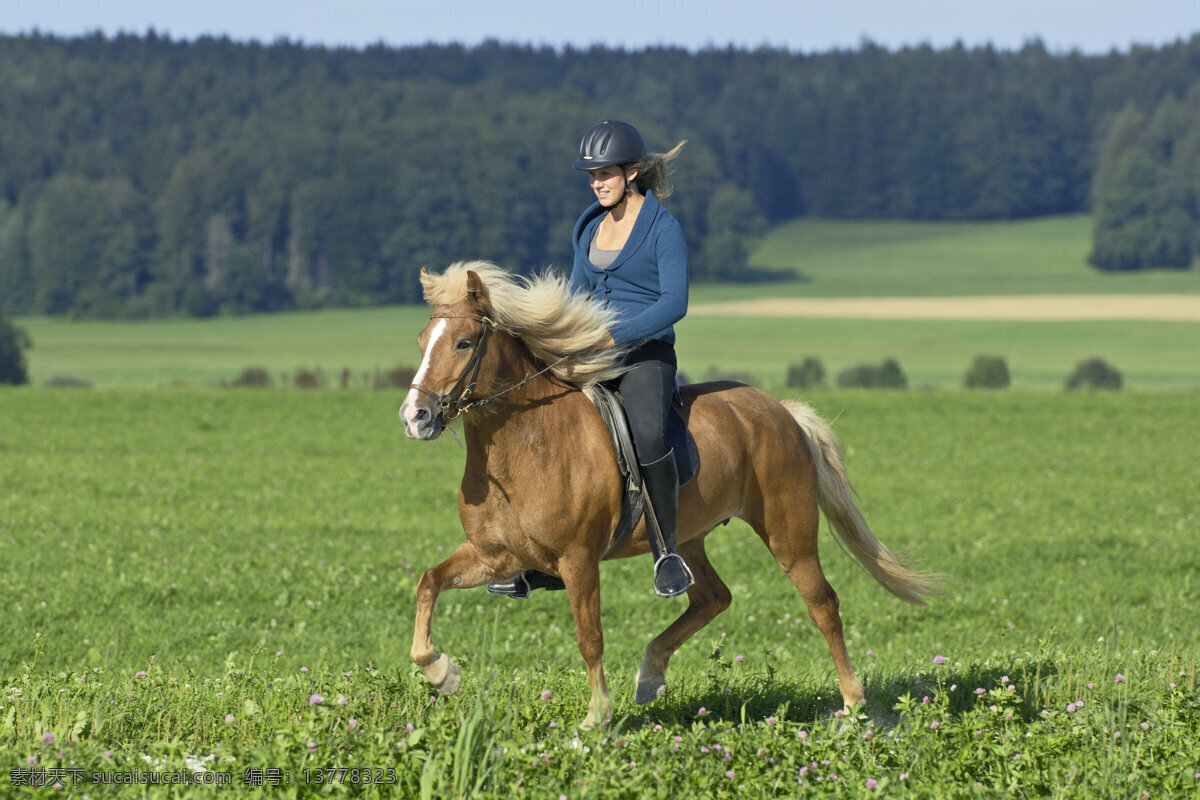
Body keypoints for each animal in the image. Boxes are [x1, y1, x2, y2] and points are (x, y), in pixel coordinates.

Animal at [398, 262, 940, 734]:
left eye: (464, 342)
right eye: (422, 341)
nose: (415, 417)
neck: (525, 445)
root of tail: (780, 411)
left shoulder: (578, 561)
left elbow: (589, 637)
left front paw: (596, 718)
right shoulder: (495, 556)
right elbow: (428, 583)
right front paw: (442, 672)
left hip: (789, 533)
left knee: (822, 604)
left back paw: (853, 706)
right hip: (689, 537)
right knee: (711, 597)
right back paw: (650, 674)